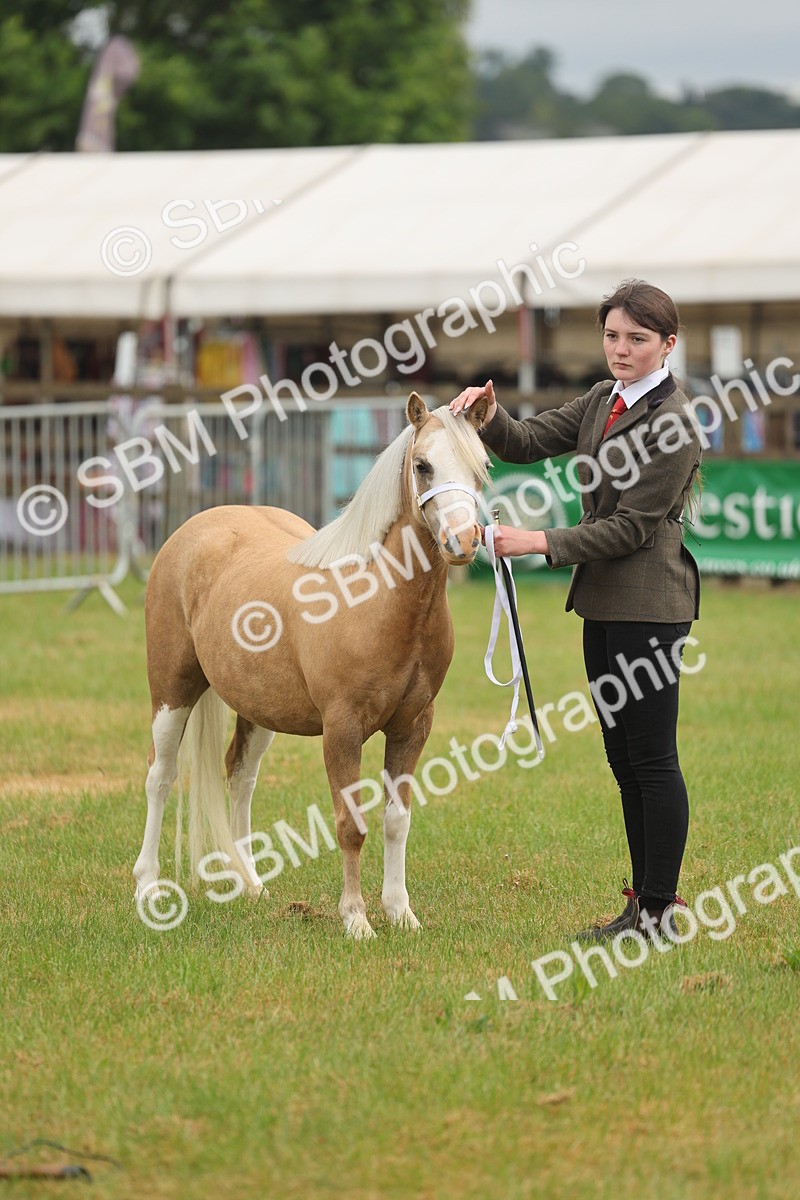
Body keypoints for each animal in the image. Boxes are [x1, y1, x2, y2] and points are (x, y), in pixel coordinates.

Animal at [133, 391, 490, 938]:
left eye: (482, 467)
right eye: (423, 465)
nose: (464, 541)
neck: (376, 598)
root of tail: (192, 531)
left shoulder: (413, 726)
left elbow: (395, 821)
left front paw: (400, 912)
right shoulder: (342, 729)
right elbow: (350, 825)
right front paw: (356, 919)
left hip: (258, 710)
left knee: (239, 777)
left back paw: (252, 885)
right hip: (171, 690)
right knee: (161, 775)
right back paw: (148, 888)